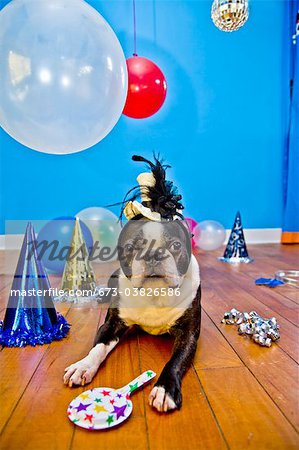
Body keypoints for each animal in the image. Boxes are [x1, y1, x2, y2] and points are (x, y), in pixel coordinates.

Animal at [64, 156, 203, 414]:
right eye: (130, 247)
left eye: (176, 246)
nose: (153, 253)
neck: (154, 293)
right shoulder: (111, 325)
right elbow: (97, 347)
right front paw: (84, 365)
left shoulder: (188, 335)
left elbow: (175, 361)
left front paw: (165, 389)